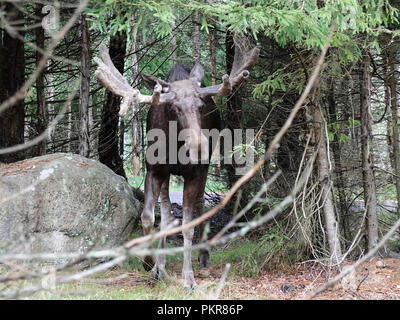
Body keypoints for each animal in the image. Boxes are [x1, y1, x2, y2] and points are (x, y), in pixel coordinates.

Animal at [95, 41, 260, 288]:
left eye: (201, 105)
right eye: (174, 107)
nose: (199, 146)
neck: (174, 147)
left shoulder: (195, 173)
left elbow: (188, 224)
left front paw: (188, 277)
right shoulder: (154, 170)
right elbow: (149, 217)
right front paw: (149, 263)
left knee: (199, 206)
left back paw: (202, 255)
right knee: (166, 215)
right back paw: (160, 267)